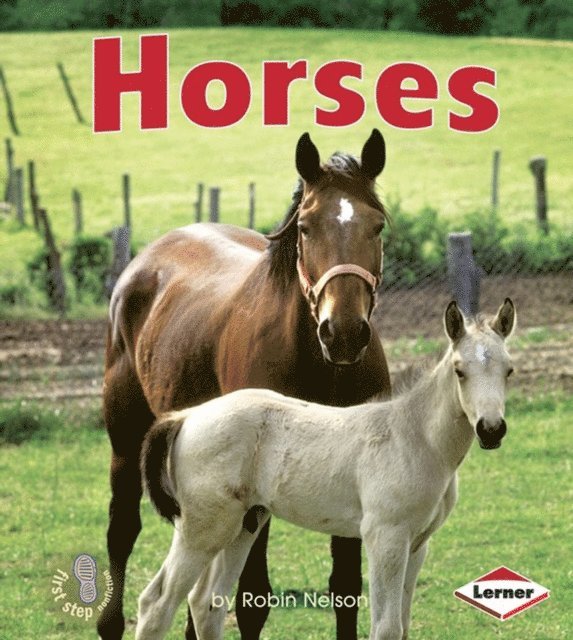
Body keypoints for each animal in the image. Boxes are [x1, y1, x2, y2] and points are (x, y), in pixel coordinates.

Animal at [97, 129, 392, 640]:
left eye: (376, 226)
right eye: (306, 227)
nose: (344, 332)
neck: (321, 365)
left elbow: (347, 588)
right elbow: (252, 599)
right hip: (127, 441)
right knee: (124, 532)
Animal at [135, 298, 516, 640]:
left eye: (508, 370)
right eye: (459, 370)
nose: (491, 430)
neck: (415, 438)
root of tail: (186, 417)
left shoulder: (418, 543)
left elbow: (403, 627)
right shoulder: (385, 536)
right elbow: (386, 628)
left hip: (242, 525)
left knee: (205, 603)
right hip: (202, 529)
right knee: (157, 604)